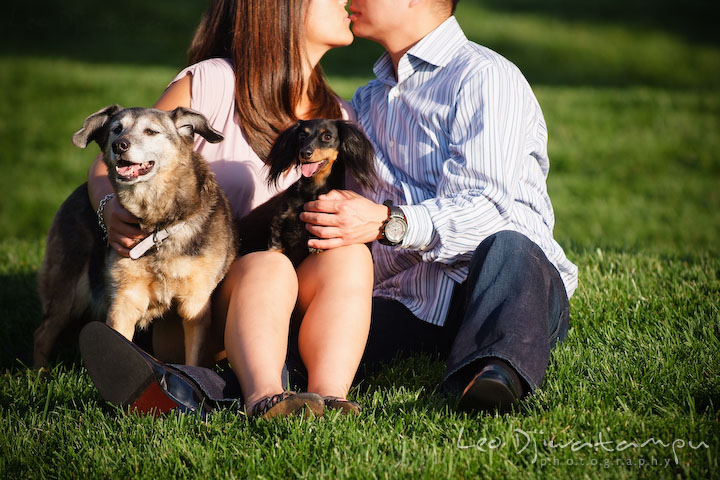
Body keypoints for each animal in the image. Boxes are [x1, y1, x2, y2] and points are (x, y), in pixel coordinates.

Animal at [33, 105, 236, 368]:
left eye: (151, 131)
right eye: (116, 129)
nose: (119, 145)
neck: (158, 225)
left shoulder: (196, 304)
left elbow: (194, 358)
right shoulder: (125, 300)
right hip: (68, 288)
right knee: (42, 333)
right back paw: (39, 374)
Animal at [239, 118, 380, 264]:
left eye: (327, 136)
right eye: (302, 136)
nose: (305, 153)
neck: (313, 188)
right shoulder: (279, 220)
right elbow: (276, 245)